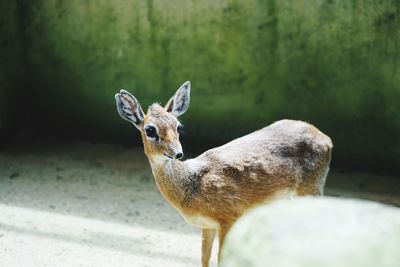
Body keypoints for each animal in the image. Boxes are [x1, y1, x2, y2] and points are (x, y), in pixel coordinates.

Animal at [114, 81, 332, 267]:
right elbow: (204, 258)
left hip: (312, 188)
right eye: (150, 130)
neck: (192, 185)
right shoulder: (208, 225)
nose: (178, 153)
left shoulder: (229, 216)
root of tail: (327, 139)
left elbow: (222, 259)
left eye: (178, 126)